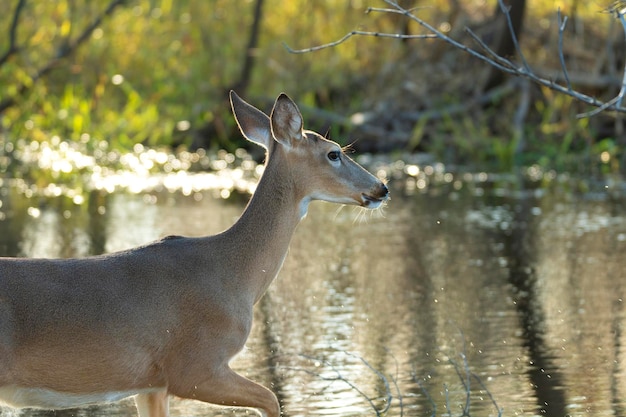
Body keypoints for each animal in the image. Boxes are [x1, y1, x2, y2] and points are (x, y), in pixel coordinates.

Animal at [0, 92, 388, 416]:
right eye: (334, 153)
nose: (381, 188)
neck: (234, 274)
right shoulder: (194, 367)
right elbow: (272, 398)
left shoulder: (151, 386)